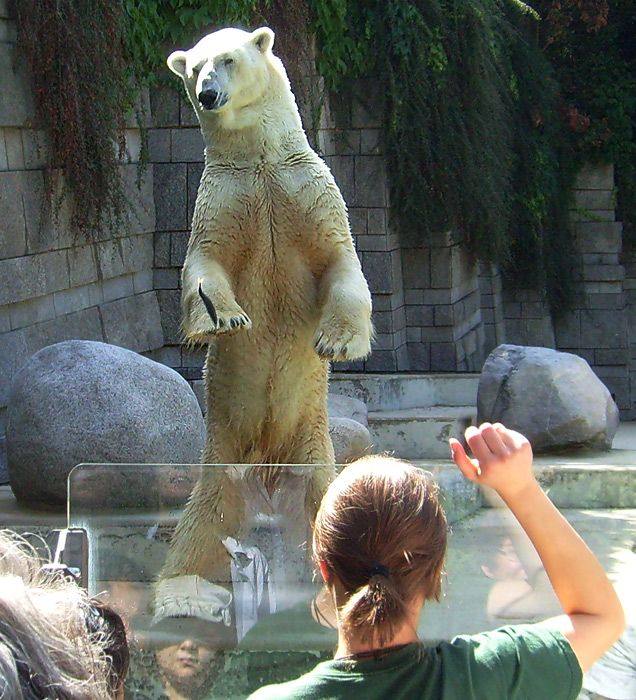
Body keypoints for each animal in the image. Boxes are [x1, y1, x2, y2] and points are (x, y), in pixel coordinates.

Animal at [159, 27, 376, 584]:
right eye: (195, 68)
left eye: (228, 60)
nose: (209, 94)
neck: (259, 160)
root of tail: (266, 469)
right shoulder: (223, 197)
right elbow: (204, 264)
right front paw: (225, 314)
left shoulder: (305, 190)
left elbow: (340, 261)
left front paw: (335, 341)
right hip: (221, 454)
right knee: (201, 527)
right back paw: (181, 589)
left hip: (312, 442)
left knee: (325, 501)